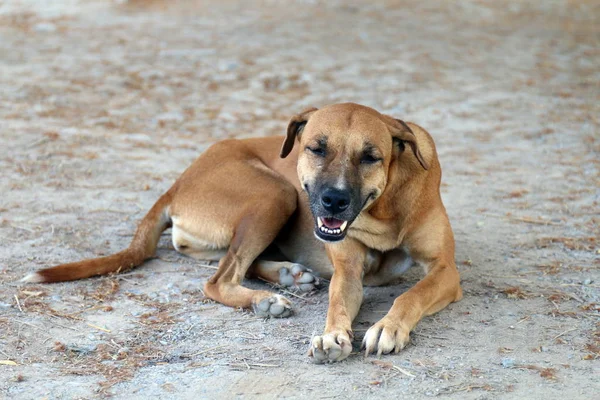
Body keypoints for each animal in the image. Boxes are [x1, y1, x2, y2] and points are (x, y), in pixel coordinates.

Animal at [23, 102, 462, 362]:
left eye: (371, 157)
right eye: (317, 148)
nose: (333, 201)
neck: (383, 209)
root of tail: (178, 183)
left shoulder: (445, 270)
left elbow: (410, 294)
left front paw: (387, 325)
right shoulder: (347, 270)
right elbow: (338, 303)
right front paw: (332, 336)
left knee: (232, 264)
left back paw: (288, 275)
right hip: (276, 193)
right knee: (218, 279)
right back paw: (266, 299)